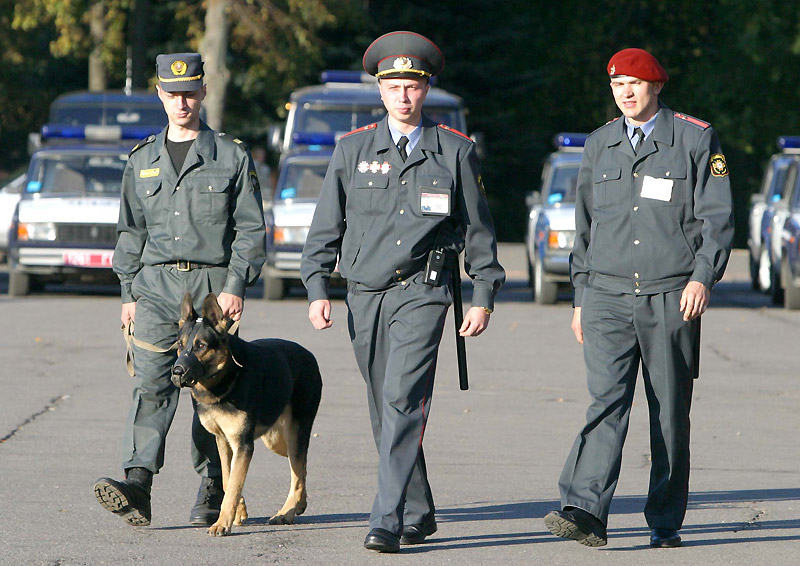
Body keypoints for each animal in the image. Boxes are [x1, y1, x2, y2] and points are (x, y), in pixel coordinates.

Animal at [172, 296, 322, 540]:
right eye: (180, 345)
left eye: (200, 346)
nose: (177, 372)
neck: (225, 377)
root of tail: (309, 354)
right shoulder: (223, 440)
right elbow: (228, 477)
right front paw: (238, 512)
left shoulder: (243, 444)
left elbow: (234, 484)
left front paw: (222, 523)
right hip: (277, 440)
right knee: (301, 466)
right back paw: (298, 505)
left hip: (294, 433)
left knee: (298, 472)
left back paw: (287, 512)